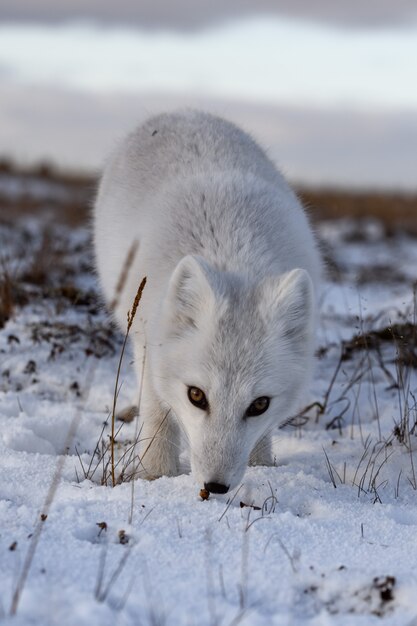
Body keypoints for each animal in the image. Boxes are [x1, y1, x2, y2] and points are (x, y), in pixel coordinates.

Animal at [94, 108, 320, 492]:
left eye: (259, 404)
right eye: (196, 396)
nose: (215, 487)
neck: (232, 254)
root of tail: (183, 112)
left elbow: (261, 439)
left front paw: (262, 469)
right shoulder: (149, 343)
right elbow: (157, 419)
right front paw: (156, 477)